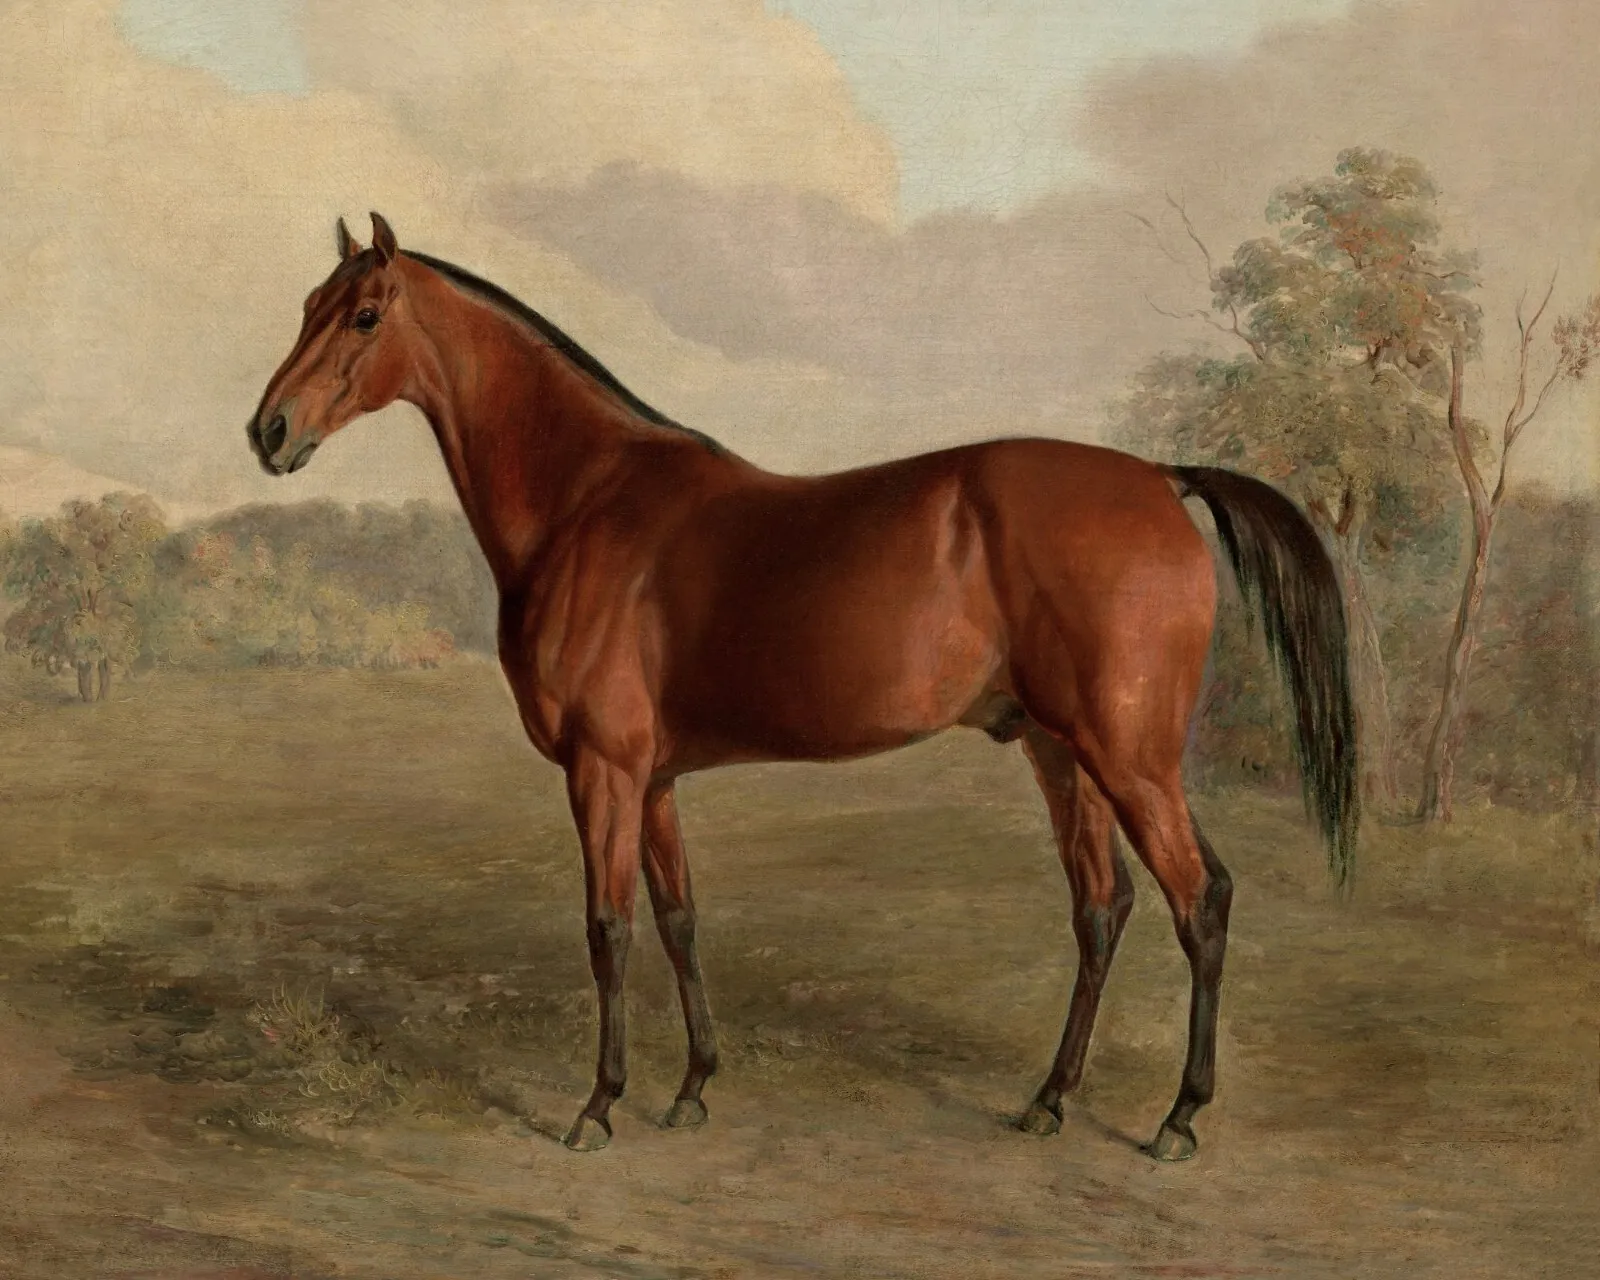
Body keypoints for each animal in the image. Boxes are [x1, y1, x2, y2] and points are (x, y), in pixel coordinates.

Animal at [247, 213, 1357, 1161]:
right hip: (1062, 752)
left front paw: (598, 1106)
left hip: (1130, 756)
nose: (269, 431)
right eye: (304, 303)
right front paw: (692, 1088)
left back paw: (1178, 1117)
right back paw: (1048, 1100)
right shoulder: (653, 780)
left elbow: (608, 930)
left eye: (363, 315)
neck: (587, 502)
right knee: (1102, 905)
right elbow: (679, 919)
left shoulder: (602, 772)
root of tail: (1160, 478)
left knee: (1199, 899)